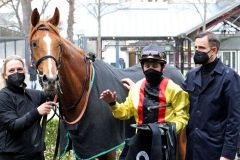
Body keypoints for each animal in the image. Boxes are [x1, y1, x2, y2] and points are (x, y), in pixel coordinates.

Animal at [29, 7, 187, 160]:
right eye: (34, 43)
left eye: (59, 44)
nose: (50, 80)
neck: (84, 92)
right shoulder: (83, 150)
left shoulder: (107, 150)